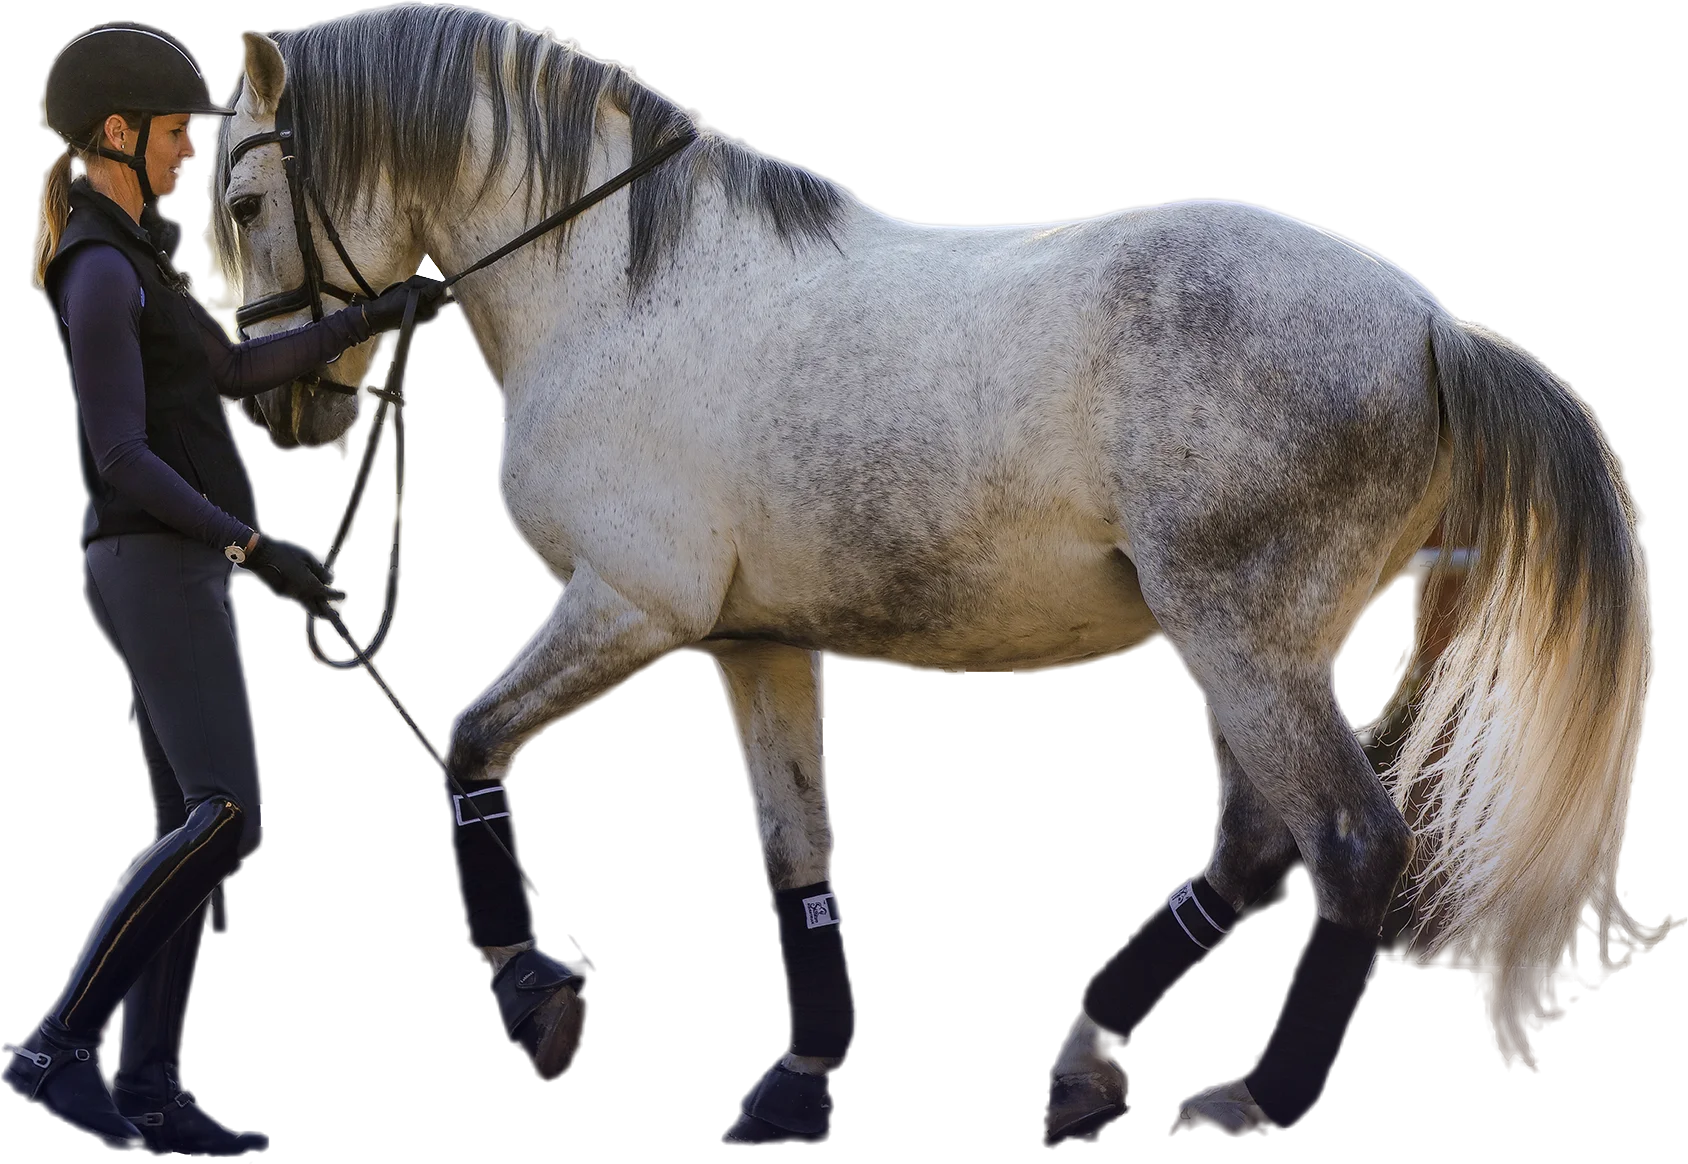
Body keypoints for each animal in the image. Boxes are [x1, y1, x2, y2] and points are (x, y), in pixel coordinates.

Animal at [208, 3, 1667, 1146]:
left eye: (240, 202)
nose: (283, 408)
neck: (620, 290)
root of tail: (1430, 324)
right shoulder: (751, 642)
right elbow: (795, 851)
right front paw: (798, 1082)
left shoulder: (629, 606)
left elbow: (468, 745)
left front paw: (535, 1000)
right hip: (1242, 648)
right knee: (1254, 845)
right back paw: (1084, 1065)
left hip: (1245, 642)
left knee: (1350, 845)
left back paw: (1249, 1099)